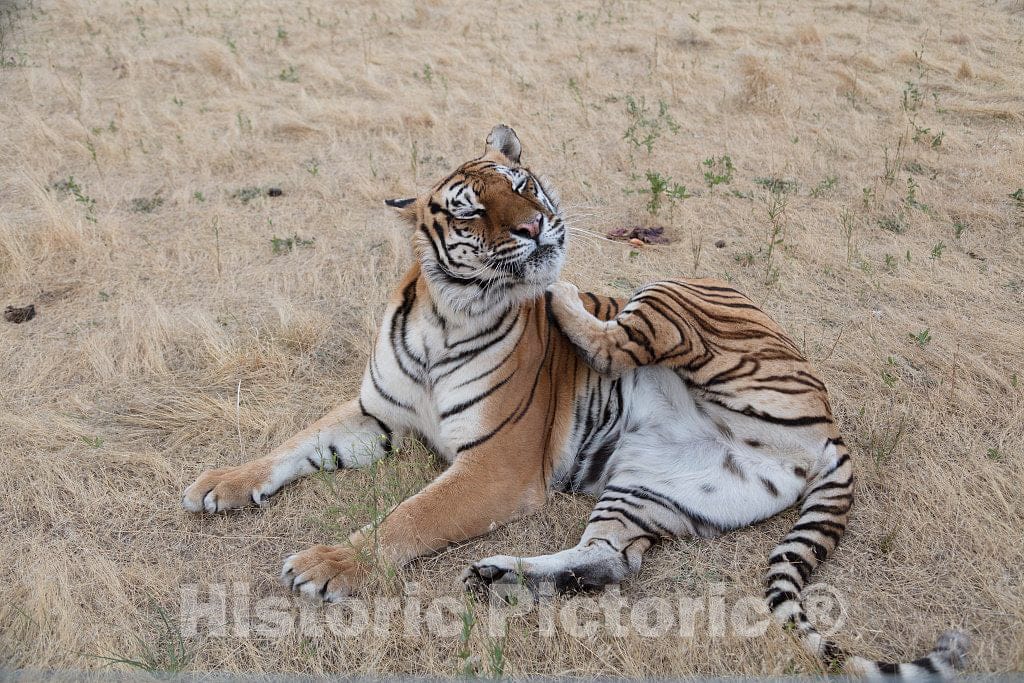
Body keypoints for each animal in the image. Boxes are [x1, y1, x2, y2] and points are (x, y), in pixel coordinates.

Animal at [182, 125, 966, 675]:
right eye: (471, 213)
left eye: (524, 184)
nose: (537, 227)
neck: (444, 317)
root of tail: (832, 426)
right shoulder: (375, 414)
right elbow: (291, 444)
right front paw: (221, 483)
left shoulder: (493, 467)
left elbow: (409, 516)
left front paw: (329, 565)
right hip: (650, 487)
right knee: (613, 560)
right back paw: (502, 577)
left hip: (677, 291)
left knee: (624, 338)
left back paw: (564, 298)